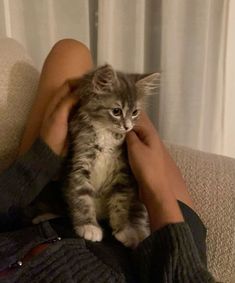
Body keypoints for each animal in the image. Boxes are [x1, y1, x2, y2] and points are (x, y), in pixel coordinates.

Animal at [65, 65, 159, 248]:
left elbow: (120, 202)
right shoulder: (81, 160)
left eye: (135, 112)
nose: (127, 127)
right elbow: (81, 196)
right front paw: (88, 226)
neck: (106, 133)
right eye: (116, 111)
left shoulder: (123, 171)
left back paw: (138, 233)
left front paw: (123, 229)